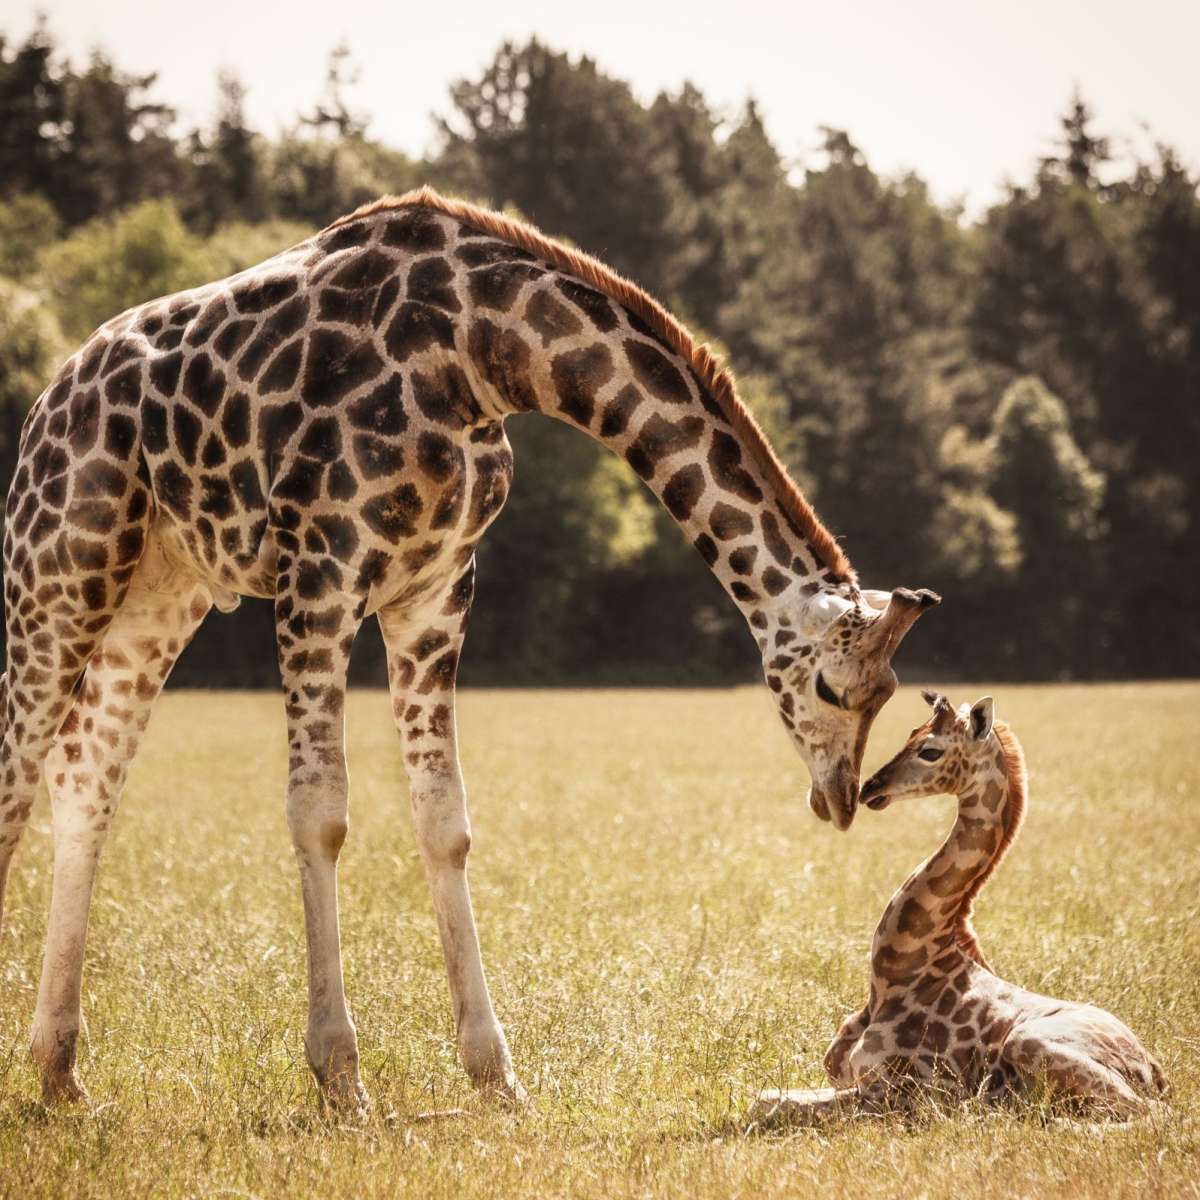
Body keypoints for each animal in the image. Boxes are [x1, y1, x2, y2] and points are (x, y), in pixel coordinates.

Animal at [0, 187, 940, 1109]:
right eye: (833, 689)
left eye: (888, 697)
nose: (839, 799)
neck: (485, 351)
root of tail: (50, 398)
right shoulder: (321, 569)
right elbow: (320, 811)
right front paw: (339, 1076)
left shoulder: (437, 590)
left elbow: (443, 818)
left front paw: (494, 1073)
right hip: (60, 563)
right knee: (19, 770)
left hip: (160, 588)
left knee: (85, 772)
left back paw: (59, 1070)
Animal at [749, 691, 1168, 1127]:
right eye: (910, 734)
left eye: (930, 751)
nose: (869, 788)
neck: (894, 974)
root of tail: (1155, 1071)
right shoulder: (846, 1077)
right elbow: (765, 1097)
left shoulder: (900, 1094)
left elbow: (772, 1105)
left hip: (1030, 1042)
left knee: (1150, 1114)